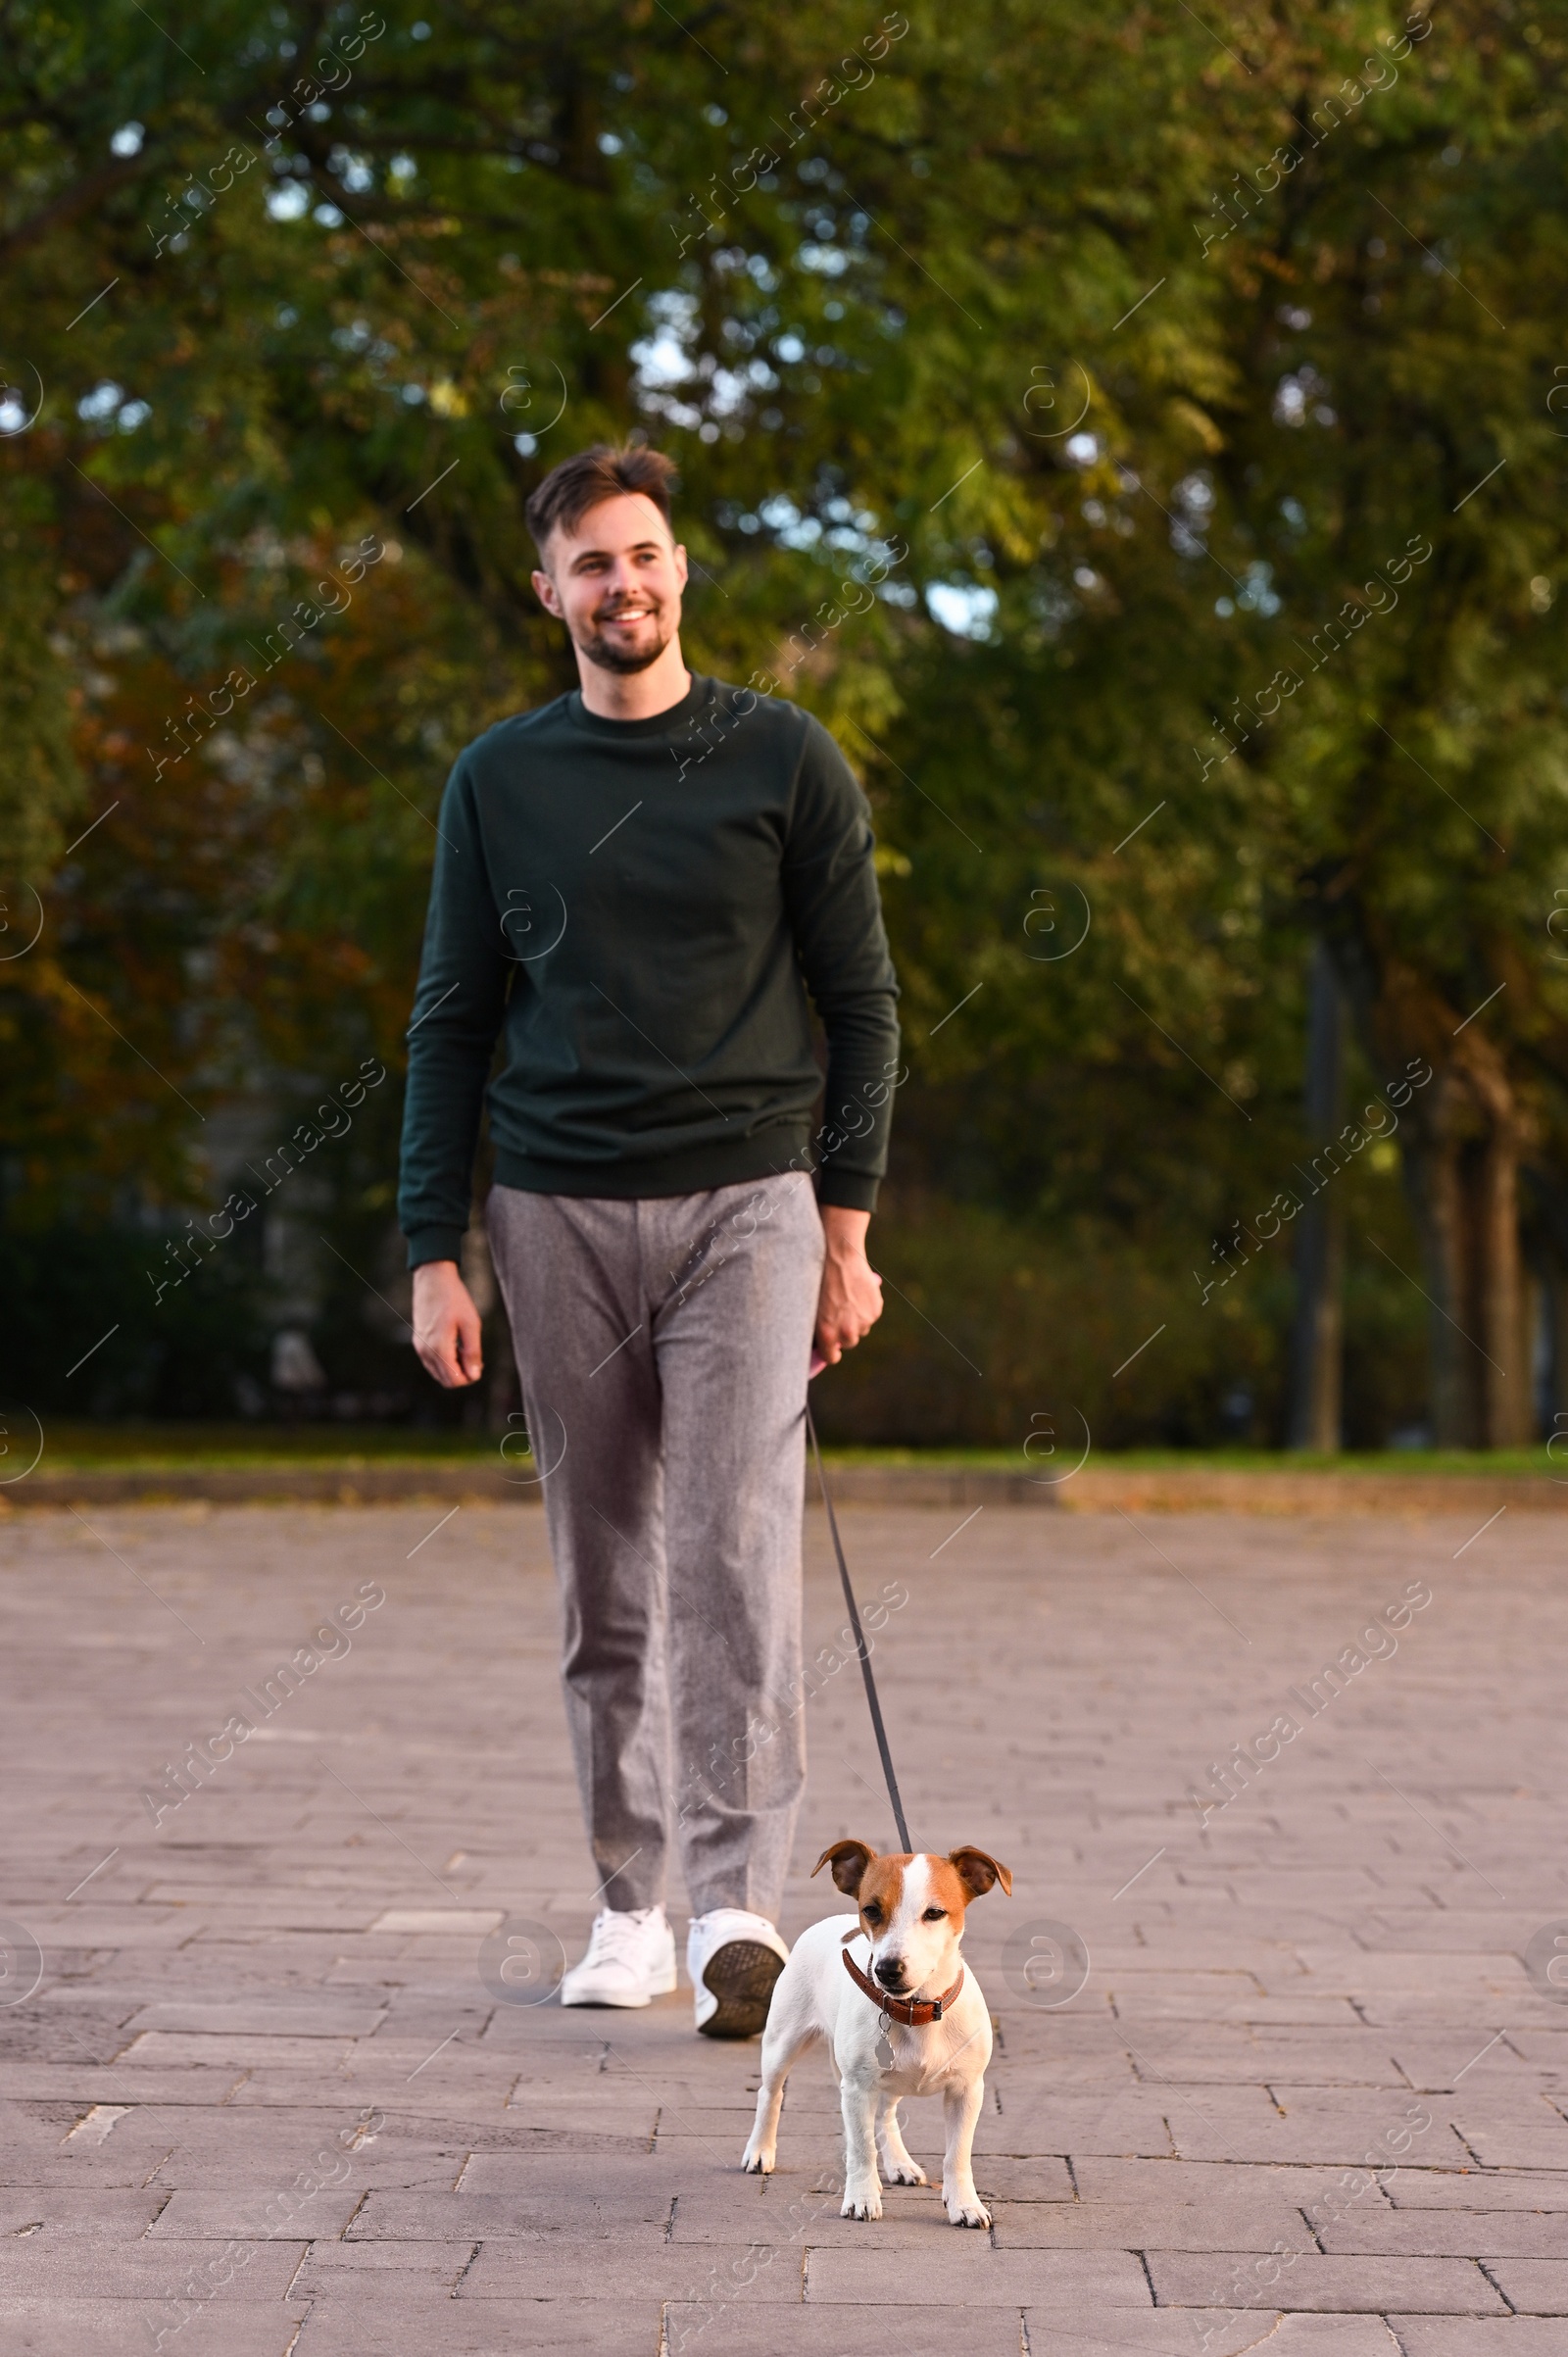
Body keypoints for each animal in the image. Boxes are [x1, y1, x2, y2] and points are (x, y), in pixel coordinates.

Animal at [740, 1838, 1008, 2225]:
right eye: (870, 1909)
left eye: (935, 1913)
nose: (887, 1969)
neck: (915, 2009)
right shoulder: (857, 2088)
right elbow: (862, 2148)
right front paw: (862, 2198)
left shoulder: (967, 2090)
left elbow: (957, 2154)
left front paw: (965, 2204)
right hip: (782, 2042)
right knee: (771, 2094)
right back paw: (760, 2150)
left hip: (891, 2079)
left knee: (886, 2115)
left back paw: (900, 2164)